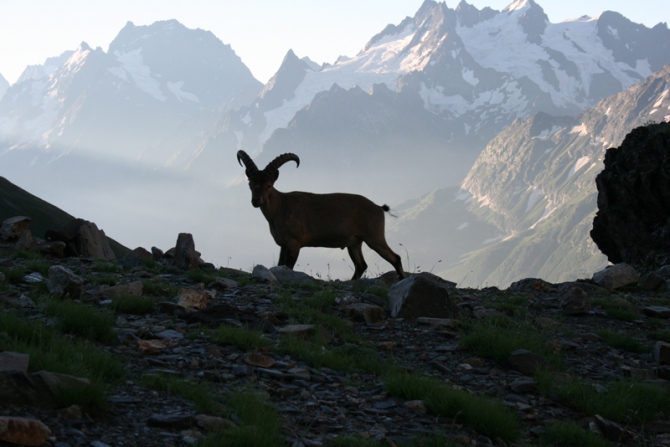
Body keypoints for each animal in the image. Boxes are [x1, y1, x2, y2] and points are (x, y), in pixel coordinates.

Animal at [239, 152, 406, 282]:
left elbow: (289, 266)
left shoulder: (294, 243)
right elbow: (281, 264)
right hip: (354, 243)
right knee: (361, 265)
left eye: (268, 185)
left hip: (374, 237)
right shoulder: (283, 245)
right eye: (250, 184)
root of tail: (378, 208)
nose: (256, 200)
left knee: (395, 257)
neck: (280, 206)